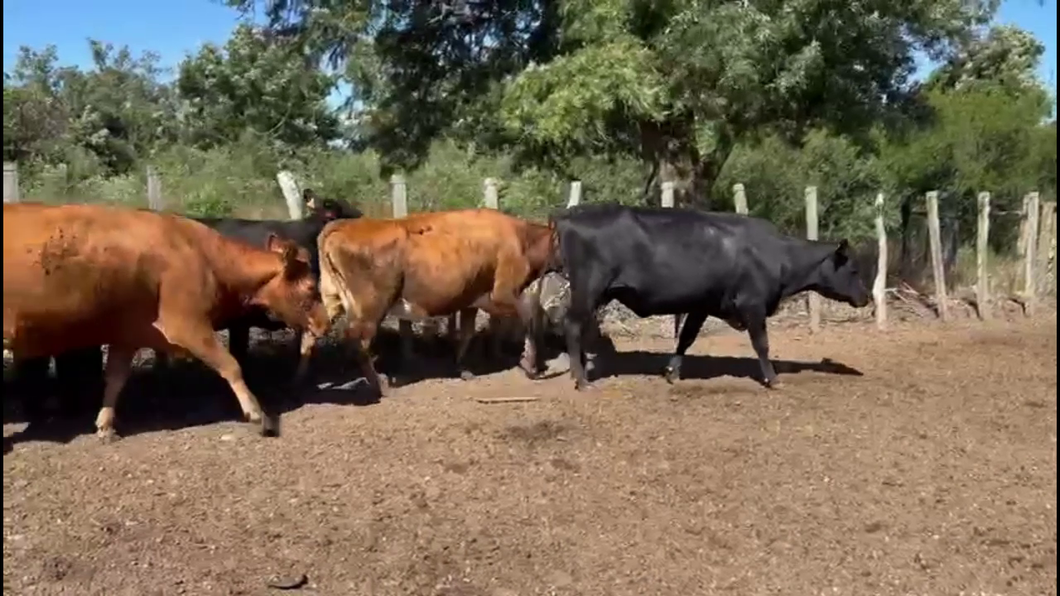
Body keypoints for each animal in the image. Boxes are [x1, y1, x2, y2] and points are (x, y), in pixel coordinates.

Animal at [309, 206, 551, 392]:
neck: (521, 238)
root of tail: (342, 225)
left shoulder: (471, 300)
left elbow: (467, 333)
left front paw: (463, 368)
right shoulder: (503, 294)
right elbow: (530, 319)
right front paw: (531, 365)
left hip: (331, 300)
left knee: (313, 333)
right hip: (370, 308)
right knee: (358, 343)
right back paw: (380, 385)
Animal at [542, 201, 873, 390]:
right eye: (854, 269)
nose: (867, 298)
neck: (777, 255)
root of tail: (570, 215)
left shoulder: (702, 305)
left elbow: (686, 338)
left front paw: (672, 372)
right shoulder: (752, 305)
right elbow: (762, 344)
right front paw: (774, 379)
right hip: (589, 289)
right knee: (573, 326)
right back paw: (581, 379)